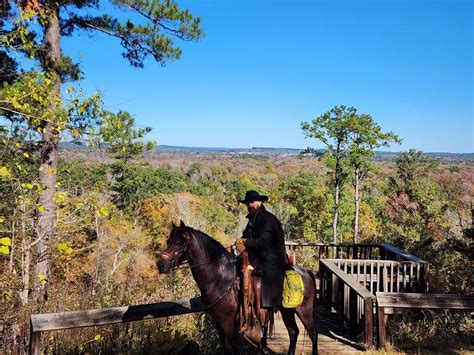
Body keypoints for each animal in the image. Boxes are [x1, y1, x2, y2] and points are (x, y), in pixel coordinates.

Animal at [156, 221, 318, 354]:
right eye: (168, 241)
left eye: (179, 243)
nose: (161, 265)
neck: (220, 278)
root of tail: (306, 272)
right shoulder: (219, 323)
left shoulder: (228, 323)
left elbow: (229, 348)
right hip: (287, 311)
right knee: (293, 332)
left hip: (304, 311)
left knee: (313, 334)